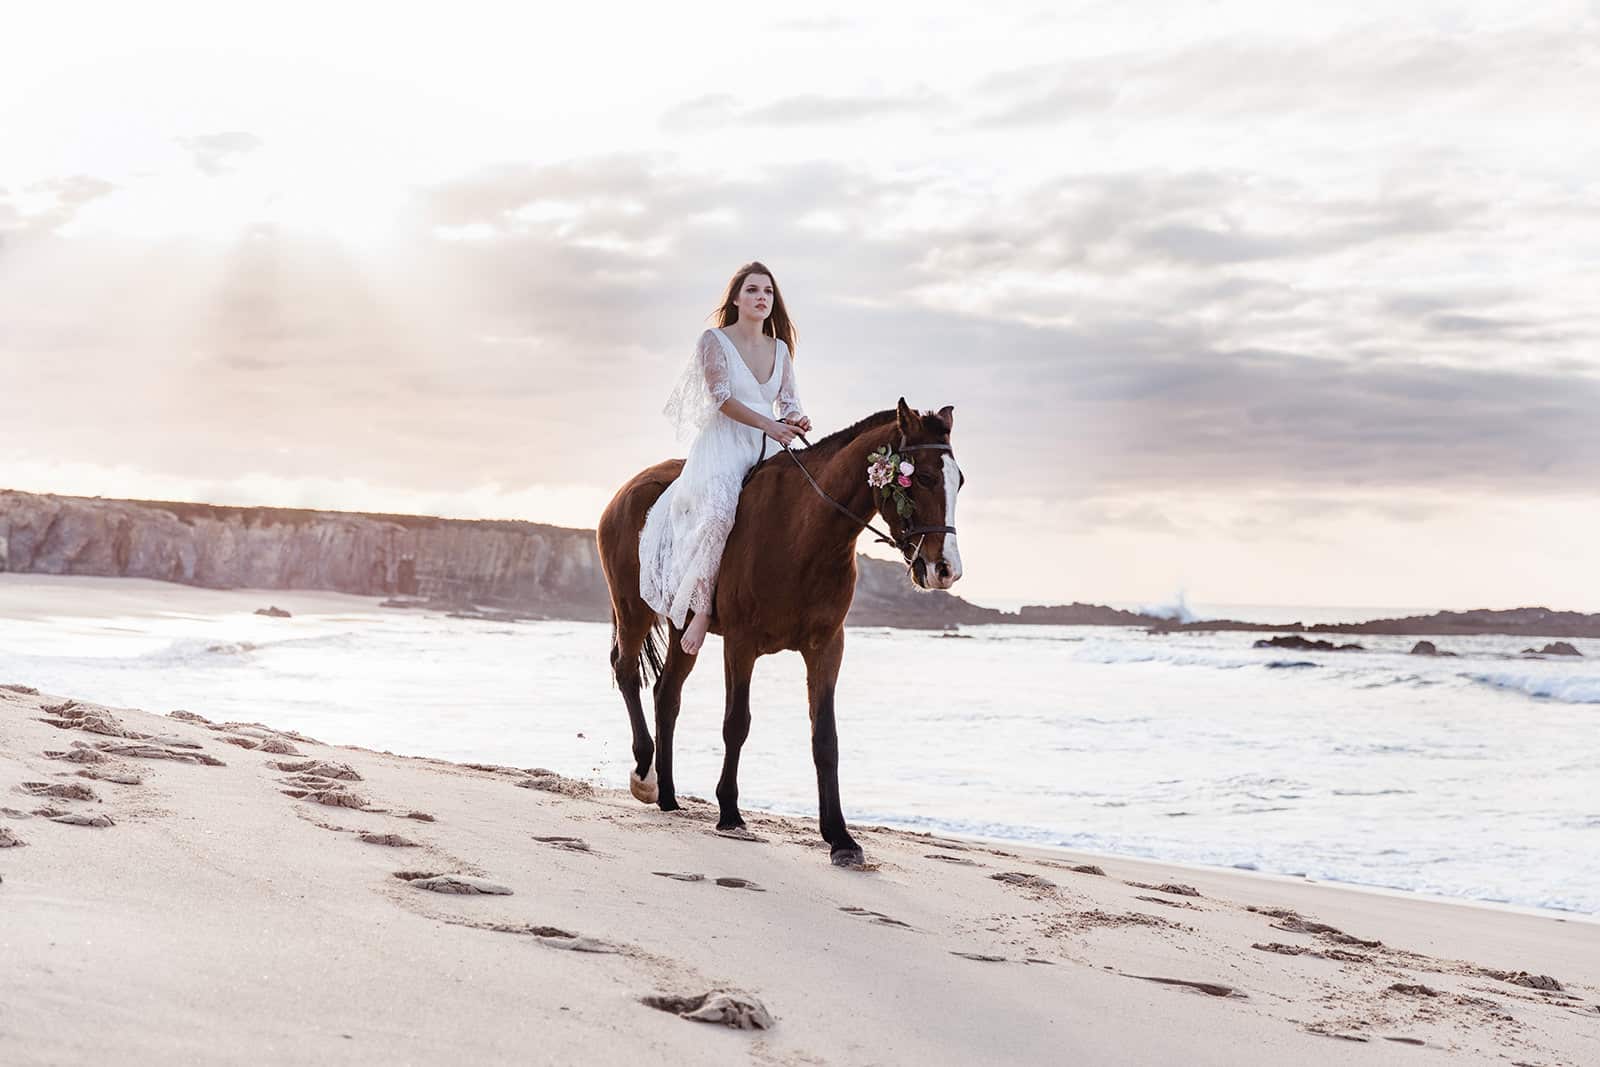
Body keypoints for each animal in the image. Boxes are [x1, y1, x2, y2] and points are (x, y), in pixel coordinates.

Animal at [592, 399, 953, 870]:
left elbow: (825, 738)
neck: (803, 533)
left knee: (666, 695)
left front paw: (840, 837)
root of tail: (626, 490)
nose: (944, 570)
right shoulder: (740, 644)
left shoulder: (827, 647)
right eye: (923, 477)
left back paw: (668, 795)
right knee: (627, 673)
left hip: (681, 626)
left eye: (960, 480)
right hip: (634, 610)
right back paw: (644, 771)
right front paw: (729, 812)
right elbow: (736, 723)